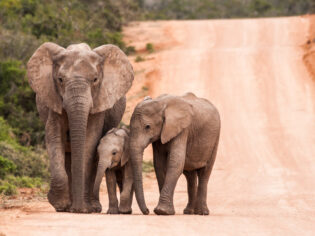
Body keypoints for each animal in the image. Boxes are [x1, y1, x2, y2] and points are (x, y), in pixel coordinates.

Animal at [27, 42, 135, 214]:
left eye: (95, 80)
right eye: (60, 79)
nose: (78, 209)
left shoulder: (99, 102)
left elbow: (90, 141)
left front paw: (83, 209)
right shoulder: (53, 99)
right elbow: (54, 137)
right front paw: (60, 204)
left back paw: (91, 207)